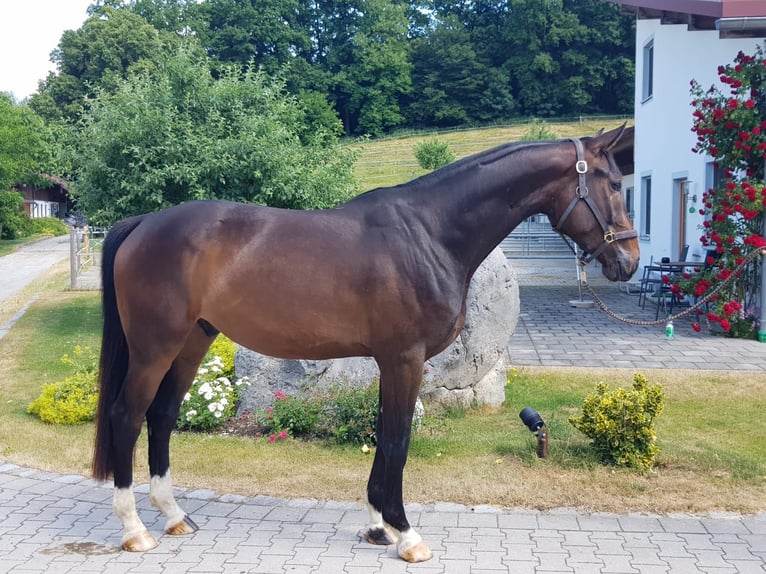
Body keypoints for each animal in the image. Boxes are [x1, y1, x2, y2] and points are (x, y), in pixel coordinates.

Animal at [93, 125, 640, 564]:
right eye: (615, 184)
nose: (629, 261)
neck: (429, 234)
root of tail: (141, 223)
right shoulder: (405, 359)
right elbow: (398, 438)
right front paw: (406, 534)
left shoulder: (389, 362)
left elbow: (383, 435)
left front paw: (379, 527)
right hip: (154, 347)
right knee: (127, 415)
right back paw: (135, 530)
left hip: (192, 342)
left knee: (162, 415)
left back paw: (174, 515)